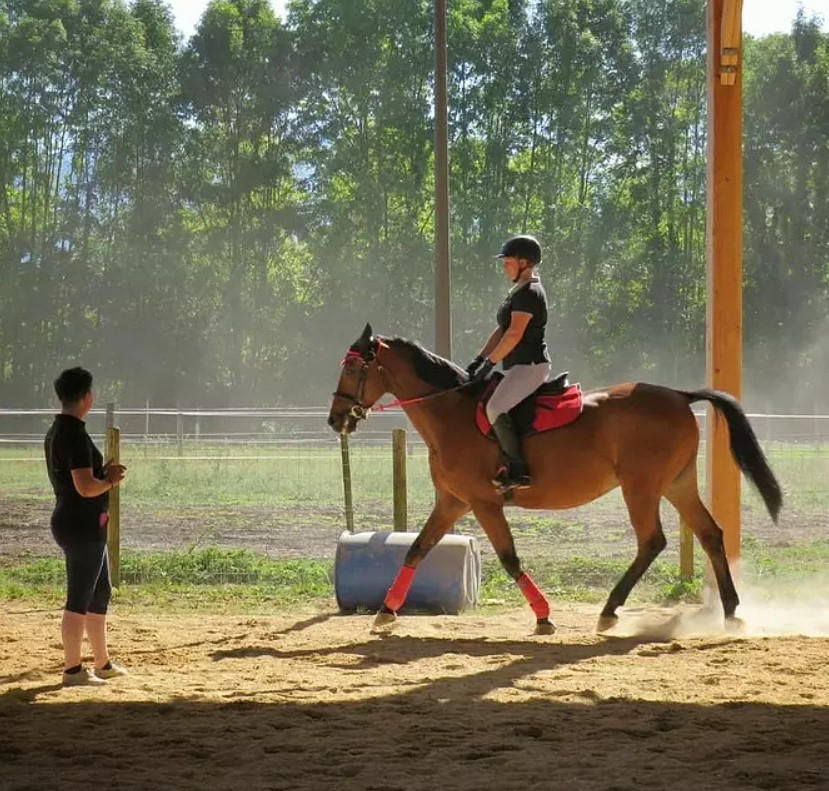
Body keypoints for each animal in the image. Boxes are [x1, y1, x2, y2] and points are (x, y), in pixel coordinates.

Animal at [326, 324, 780, 636]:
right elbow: (416, 550)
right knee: (710, 534)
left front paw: (544, 617)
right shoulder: (452, 502)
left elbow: (509, 558)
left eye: (351, 367)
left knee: (652, 542)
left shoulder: (483, 502)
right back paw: (731, 611)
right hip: (676, 484)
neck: (450, 414)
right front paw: (386, 611)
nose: (335, 419)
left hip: (641, 487)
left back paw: (609, 611)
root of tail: (680, 396)